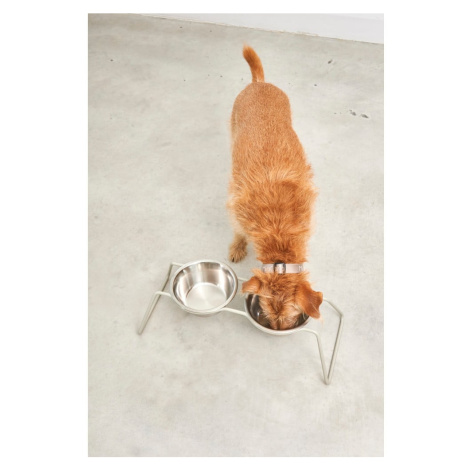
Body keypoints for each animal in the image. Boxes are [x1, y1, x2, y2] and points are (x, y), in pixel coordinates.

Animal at [227, 45, 323, 330]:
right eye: (268, 315)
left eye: (289, 318)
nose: (276, 331)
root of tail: (259, 83)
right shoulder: (235, 210)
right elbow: (238, 232)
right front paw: (238, 247)